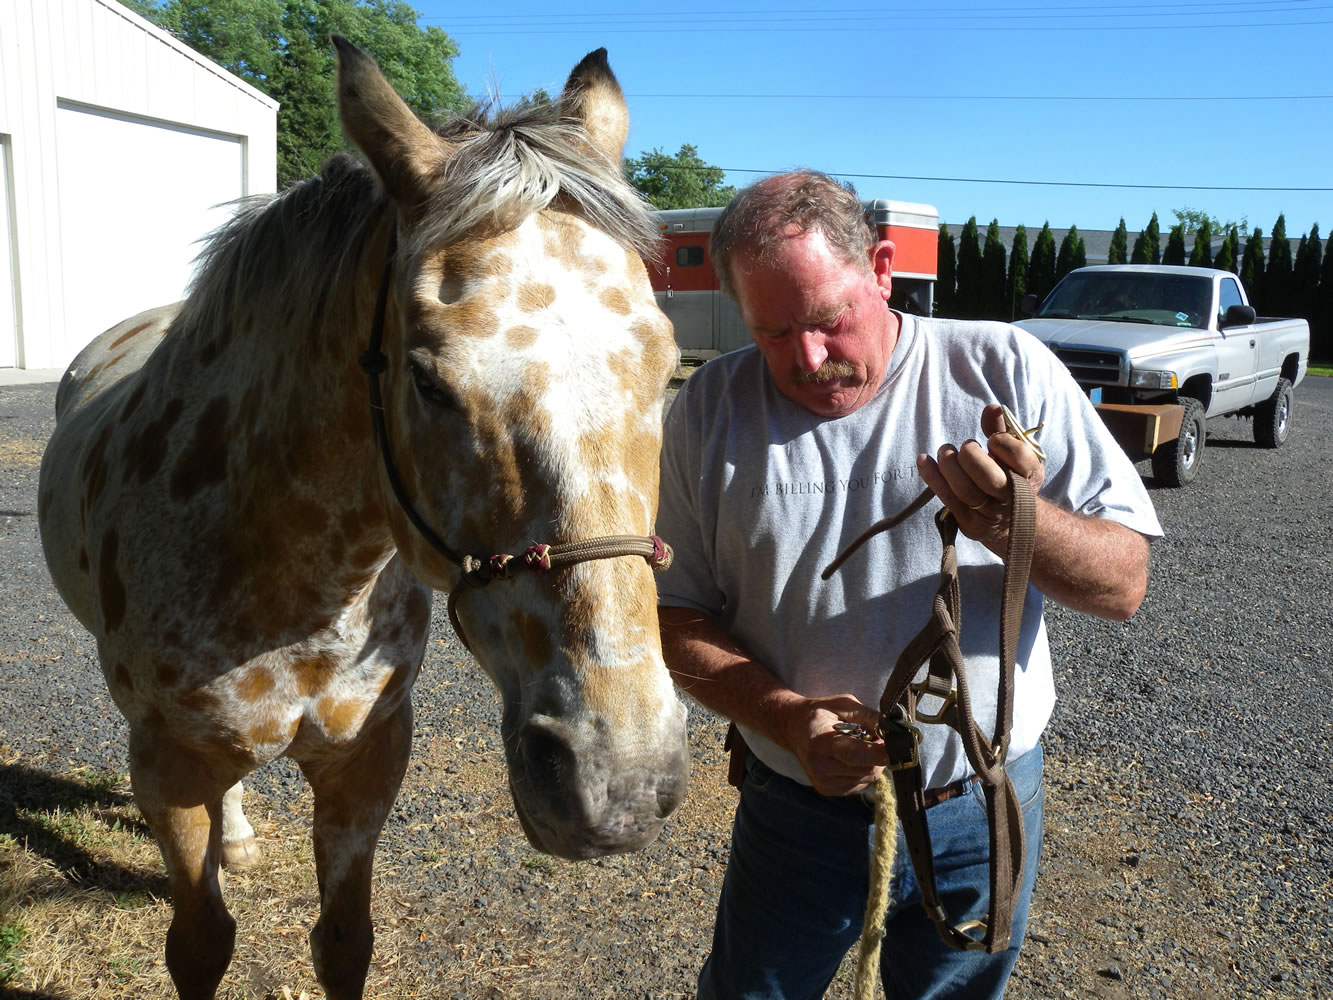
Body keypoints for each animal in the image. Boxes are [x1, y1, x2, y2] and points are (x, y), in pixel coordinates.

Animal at [37, 39, 693, 1000]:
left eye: (665, 363)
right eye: (427, 379)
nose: (620, 777)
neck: (290, 579)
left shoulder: (367, 762)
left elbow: (345, 941)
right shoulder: (165, 770)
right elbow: (200, 943)